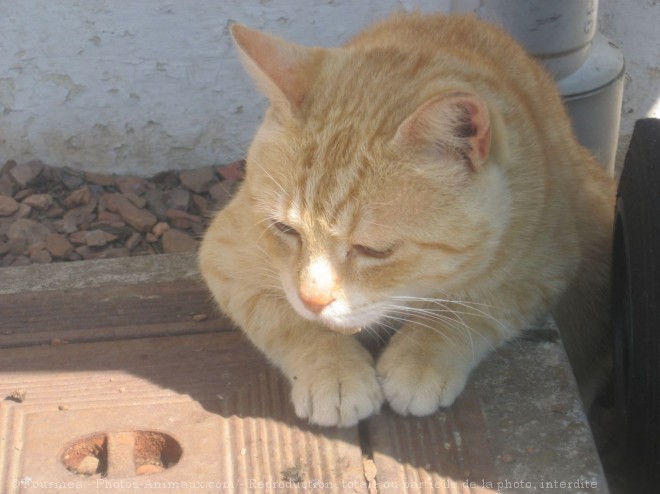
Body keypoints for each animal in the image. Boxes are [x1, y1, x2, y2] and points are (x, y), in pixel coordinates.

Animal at [199, 13, 616, 426]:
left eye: (375, 251)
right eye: (285, 229)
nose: (313, 300)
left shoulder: (544, 268)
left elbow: (468, 311)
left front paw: (420, 359)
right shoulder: (223, 256)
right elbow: (288, 319)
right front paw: (333, 370)